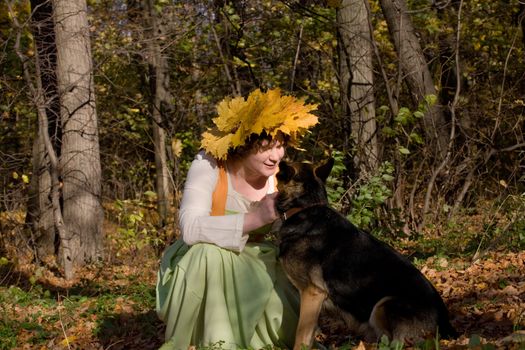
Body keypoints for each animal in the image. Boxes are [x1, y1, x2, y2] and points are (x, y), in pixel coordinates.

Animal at [274, 159, 454, 350]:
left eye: (279, 174)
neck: (304, 208)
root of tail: (446, 324)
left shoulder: (312, 293)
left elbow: (301, 334)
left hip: (383, 304)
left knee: (394, 343)